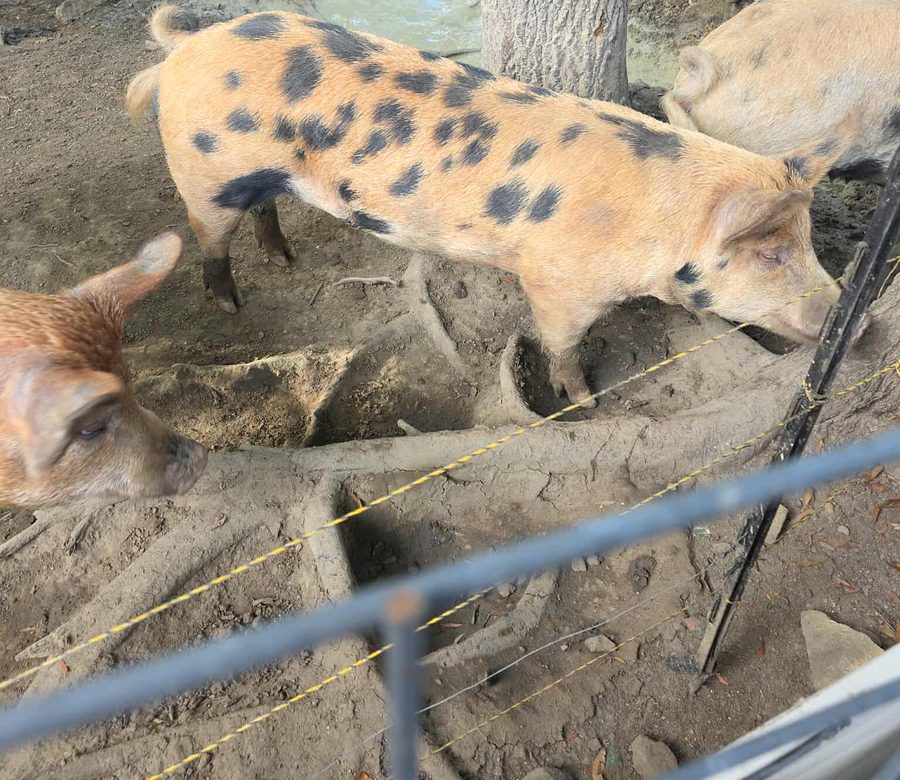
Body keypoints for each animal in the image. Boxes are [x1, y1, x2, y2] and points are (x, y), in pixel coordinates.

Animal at [126, 6, 851, 406]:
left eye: (809, 241)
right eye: (769, 252)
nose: (848, 313)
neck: (654, 226)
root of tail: (190, 45)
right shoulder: (557, 280)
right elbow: (563, 345)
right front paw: (584, 401)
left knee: (264, 211)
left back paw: (283, 260)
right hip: (204, 172)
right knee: (209, 239)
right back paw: (231, 302)